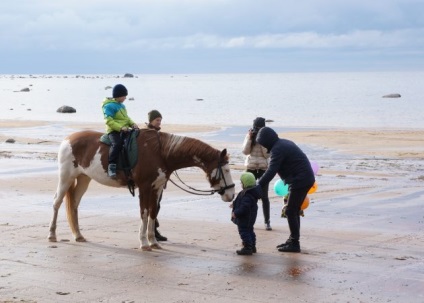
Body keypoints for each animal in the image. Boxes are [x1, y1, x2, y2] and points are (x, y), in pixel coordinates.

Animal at [48, 129, 238, 251]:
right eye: (226, 170)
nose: (231, 195)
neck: (161, 153)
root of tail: (68, 139)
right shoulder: (145, 188)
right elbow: (144, 213)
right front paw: (144, 243)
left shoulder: (157, 188)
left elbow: (153, 213)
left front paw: (153, 242)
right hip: (66, 178)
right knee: (57, 202)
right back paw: (52, 234)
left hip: (83, 179)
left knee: (73, 205)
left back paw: (78, 235)